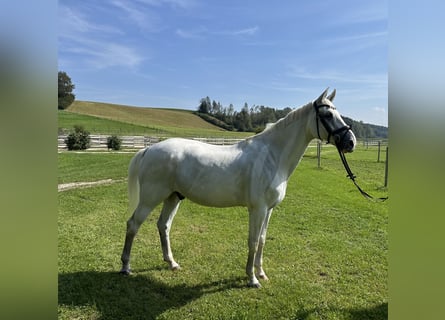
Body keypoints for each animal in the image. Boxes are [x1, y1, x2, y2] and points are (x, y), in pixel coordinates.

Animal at [119, 89, 356, 288]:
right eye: (327, 115)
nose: (351, 142)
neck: (273, 155)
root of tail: (148, 149)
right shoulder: (258, 209)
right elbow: (253, 241)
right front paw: (252, 279)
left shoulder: (269, 210)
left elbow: (262, 240)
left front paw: (261, 273)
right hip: (151, 198)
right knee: (133, 224)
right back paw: (126, 267)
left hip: (173, 197)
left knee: (163, 226)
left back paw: (172, 263)